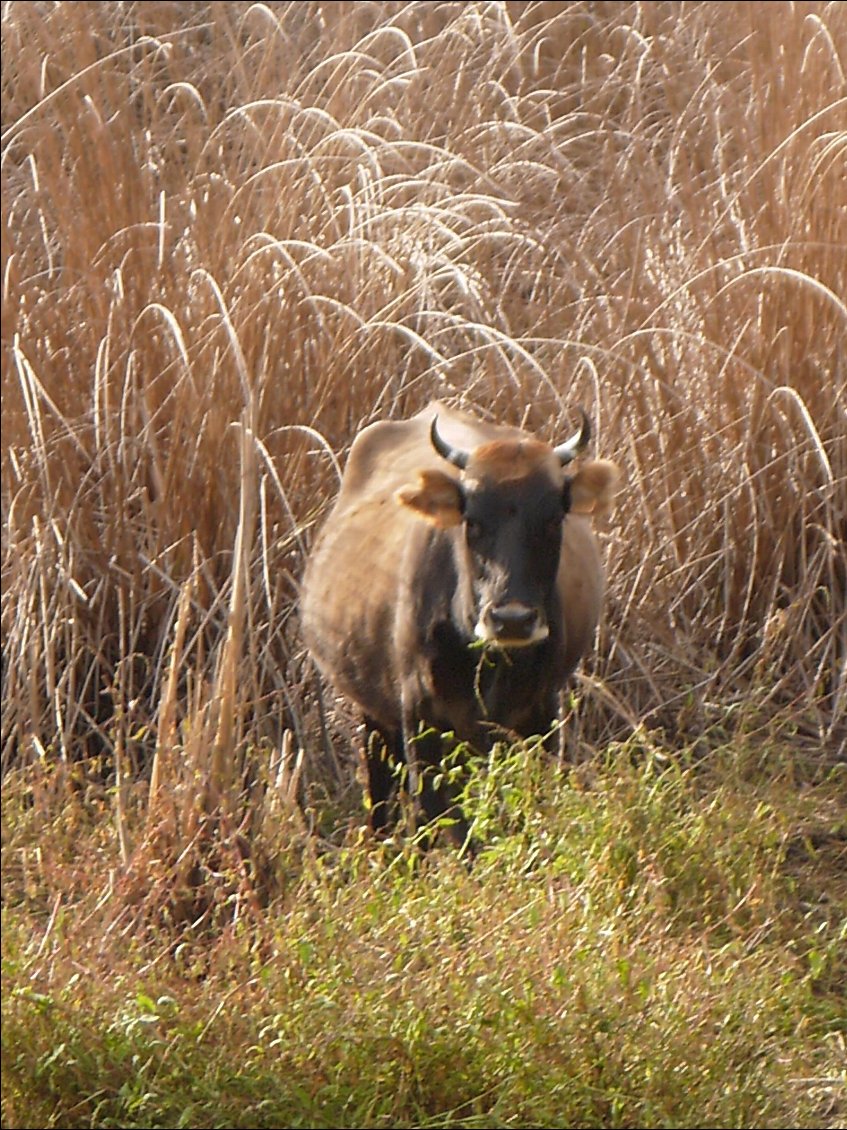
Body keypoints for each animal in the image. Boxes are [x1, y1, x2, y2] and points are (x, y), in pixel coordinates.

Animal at [302, 402, 618, 849]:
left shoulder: (540, 713)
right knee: (380, 789)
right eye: (473, 522)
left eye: (553, 520)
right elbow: (442, 817)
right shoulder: (420, 717)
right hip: (375, 713)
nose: (512, 620)